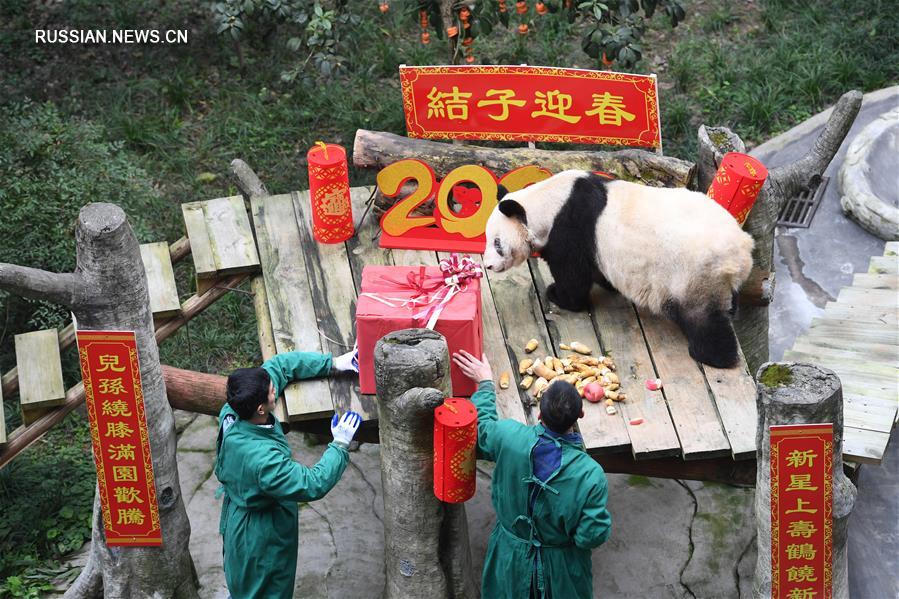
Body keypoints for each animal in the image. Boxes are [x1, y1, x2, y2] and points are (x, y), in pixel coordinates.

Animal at [482, 169, 756, 370]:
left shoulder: (570, 229)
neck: (547, 202)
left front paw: (556, 294)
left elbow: (572, 276)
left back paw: (710, 356)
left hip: (694, 275)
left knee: (703, 319)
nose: (488, 265)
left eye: (497, 243)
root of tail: (742, 251)